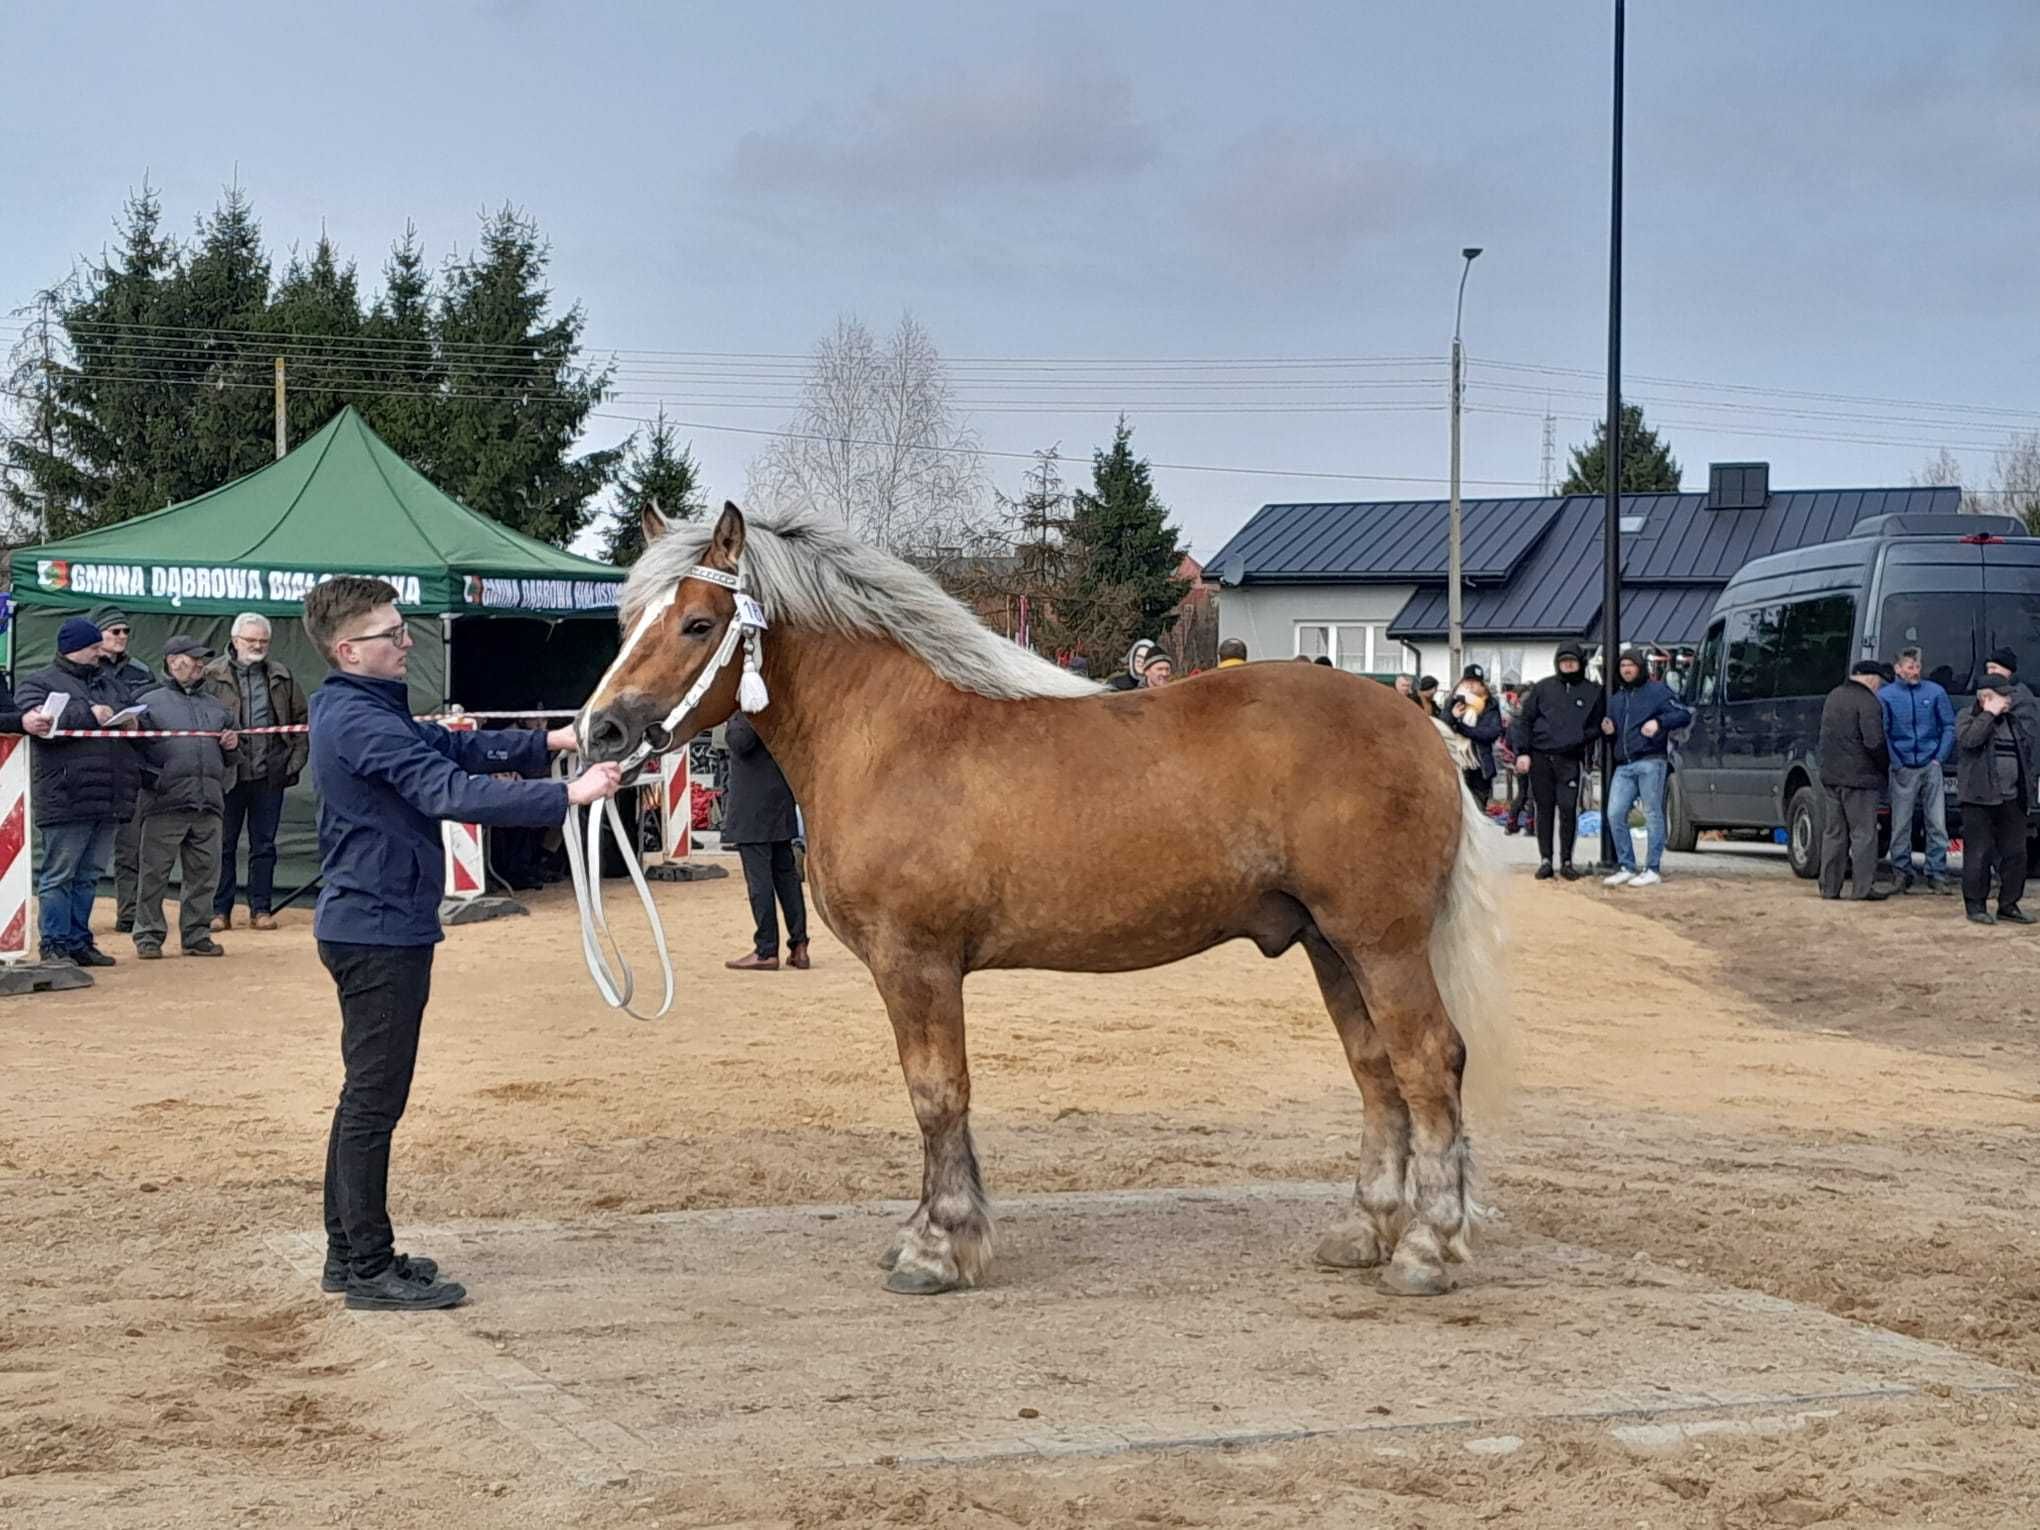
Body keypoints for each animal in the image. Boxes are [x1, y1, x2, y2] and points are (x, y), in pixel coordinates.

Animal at [583, 510, 1509, 1297]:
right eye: (629, 620)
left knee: (1429, 1062)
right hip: (1331, 947)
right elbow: (937, 1101)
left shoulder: (916, 963)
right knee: (1378, 1072)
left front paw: (936, 1248)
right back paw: (1366, 1231)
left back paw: (1426, 1249)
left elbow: (936, 1093)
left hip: (1382, 943)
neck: (892, 737)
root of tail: (1420, 726)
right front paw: (932, 1230)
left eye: (697, 624)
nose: (599, 732)